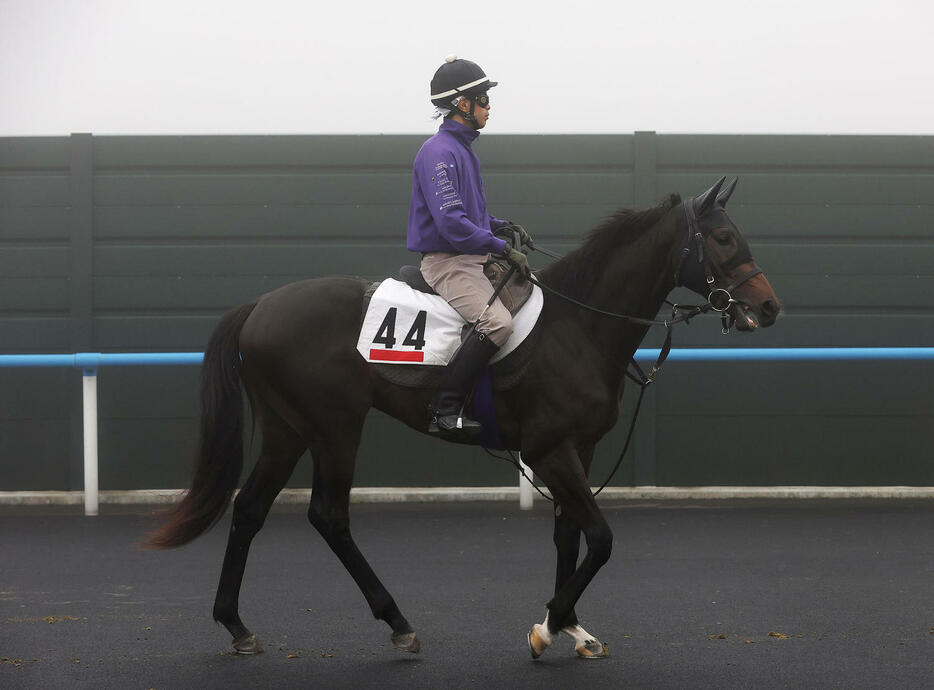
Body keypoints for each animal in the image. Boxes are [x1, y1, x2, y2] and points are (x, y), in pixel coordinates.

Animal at [144, 176, 784, 656]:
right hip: (333, 428)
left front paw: (571, 626)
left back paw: (236, 624)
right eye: (723, 238)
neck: (578, 327)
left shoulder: (578, 448)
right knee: (329, 516)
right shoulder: (550, 450)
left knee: (250, 509)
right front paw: (549, 622)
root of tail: (260, 305)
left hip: (288, 430)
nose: (769, 306)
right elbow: (600, 539)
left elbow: (568, 535)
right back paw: (397, 622)